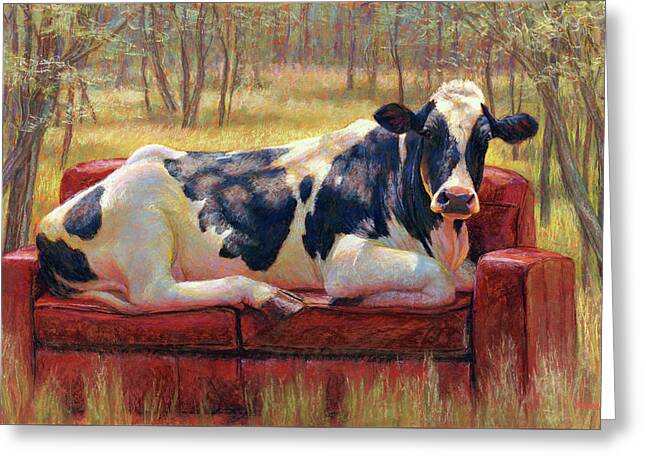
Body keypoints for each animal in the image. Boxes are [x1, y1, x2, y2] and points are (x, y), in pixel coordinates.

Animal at [36, 80, 538, 318]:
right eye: (428, 132)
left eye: (485, 138)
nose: (457, 198)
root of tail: (52, 220)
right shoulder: (346, 259)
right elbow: (440, 283)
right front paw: (367, 301)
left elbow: (465, 277)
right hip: (146, 225)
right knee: (154, 293)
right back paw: (267, 296)